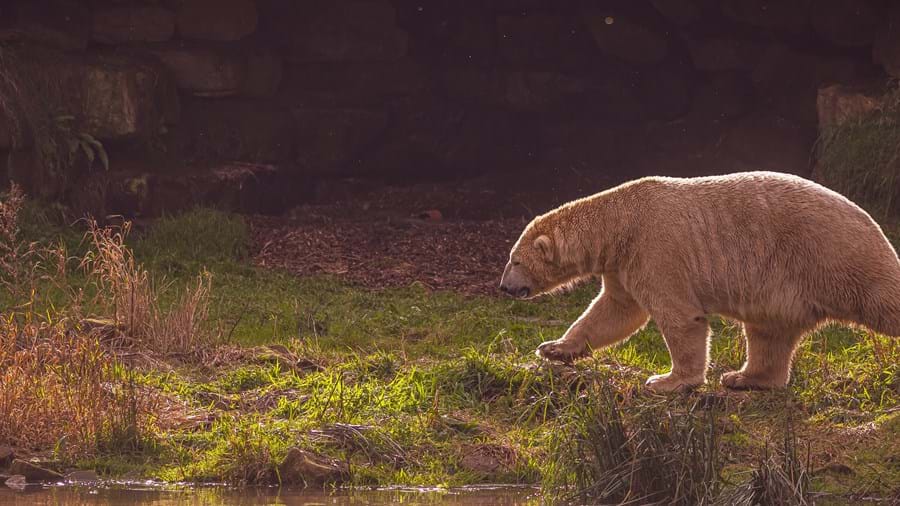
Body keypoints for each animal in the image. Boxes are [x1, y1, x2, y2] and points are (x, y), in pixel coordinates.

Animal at [499, 171, 900, 392]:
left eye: (515, 260)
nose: (505, 287)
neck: (622, 220)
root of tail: (874, 225)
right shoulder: (622, 264)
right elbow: (614, 311)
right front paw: (554, 347)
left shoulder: (656, 248)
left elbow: (679, 316)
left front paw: (666, 382)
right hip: (785, 284)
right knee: (769, 333)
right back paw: (742, 378)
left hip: (834, 255)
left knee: (882, 298)